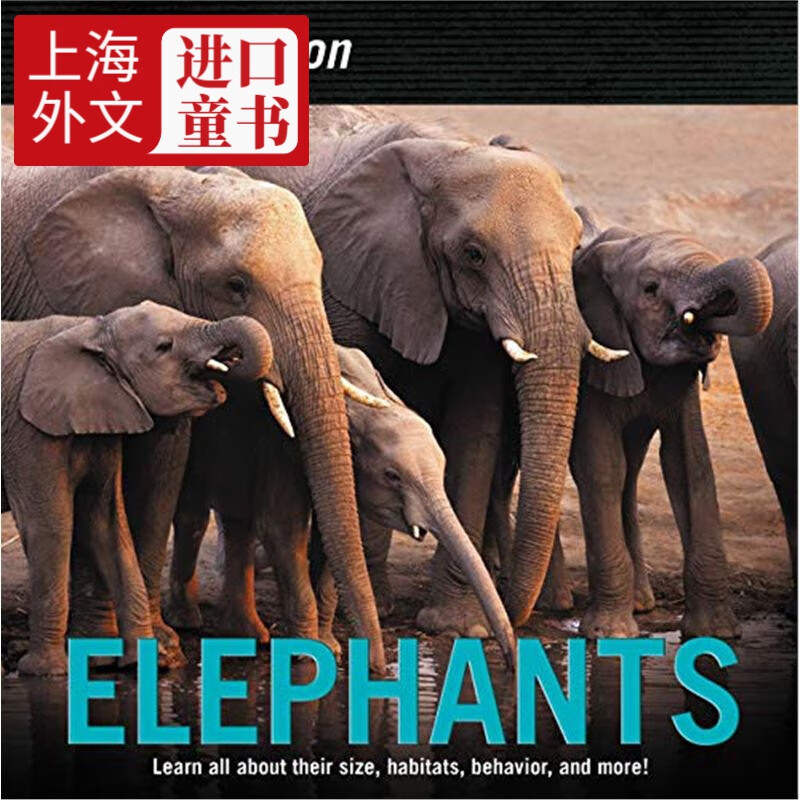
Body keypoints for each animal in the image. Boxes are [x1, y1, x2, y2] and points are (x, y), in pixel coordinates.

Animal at [1, 301, 277, 675]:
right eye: (164, 347)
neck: (93, 329)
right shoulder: (28, 429)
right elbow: (50, 525)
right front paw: (45, 672)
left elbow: (106, 523)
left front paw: (160, 659)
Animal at [166, 345, 517, 668]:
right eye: (392, 476)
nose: (512, 664)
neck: (361, 406)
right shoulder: (281, 444)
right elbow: (282, 527)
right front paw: (308, 656)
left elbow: (331, 536)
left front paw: (329, 648)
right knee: (194, 514)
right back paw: (189, 621)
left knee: (236, 519)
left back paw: (247, 635)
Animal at [234, 120, 627, 636]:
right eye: (474, 254)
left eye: (576, 247)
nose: (516, 611)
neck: (450, 152)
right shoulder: (348, 283)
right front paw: (380, 609)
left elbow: (474, 433)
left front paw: (456, 627)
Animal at [549, 212, 774, 639]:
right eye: (651, 289)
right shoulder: (596, 362)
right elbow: (601, 467)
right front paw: (609, 634)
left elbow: (690, 464)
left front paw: (716, 633)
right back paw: (552, 601)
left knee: (630, 472)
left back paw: (640, 603)